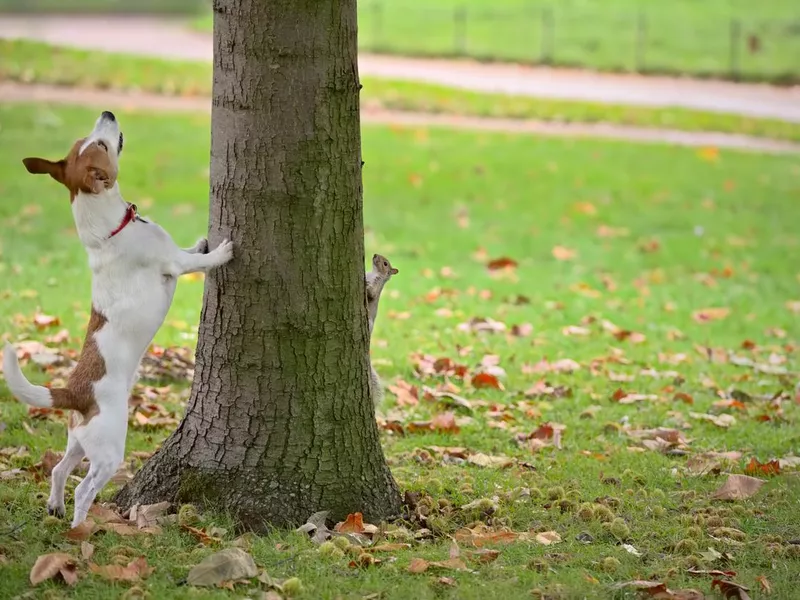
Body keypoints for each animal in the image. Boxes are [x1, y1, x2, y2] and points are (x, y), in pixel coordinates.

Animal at [2, 110, 234, 528]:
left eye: (90, 139)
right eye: (101, 145)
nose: (107, 113)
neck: (109, 230)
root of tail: (73, 391)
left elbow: (189, 249)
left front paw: (201, 242)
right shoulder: (174, 264)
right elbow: (196, 261)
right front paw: (220, 251)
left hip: (79, 441)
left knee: (59, 470)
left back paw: (56, 507)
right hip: (109, 450)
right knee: (83, 488)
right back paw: (80, 528)